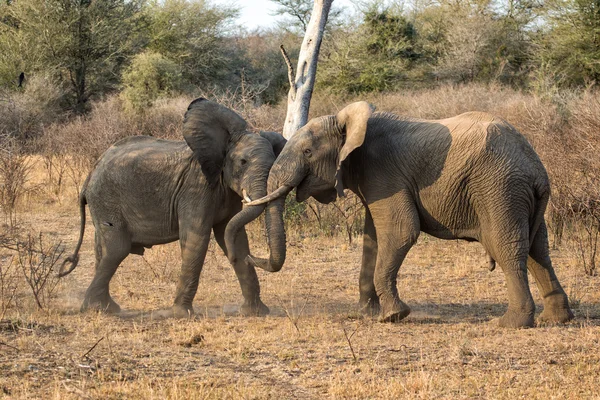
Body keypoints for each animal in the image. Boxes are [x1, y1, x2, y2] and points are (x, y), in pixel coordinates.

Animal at [61, 98, 288, 318]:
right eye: (243, 162)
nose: (251, 259)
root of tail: (91, 174)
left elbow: (234, 236)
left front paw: (255, 312)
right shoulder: (196, 189)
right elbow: (197, 238)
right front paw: (182, 315)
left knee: (103, 248)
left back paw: (107, 308)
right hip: (107, 200)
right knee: (117, 248)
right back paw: (96, 309)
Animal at [246, 101, 576, 328]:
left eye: (307, 153)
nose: (251, 257)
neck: (347, 121)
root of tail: (536, 168)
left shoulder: (383, 172)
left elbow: (401, 231)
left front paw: (392, 316)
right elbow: (373, 238)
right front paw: (368, 312)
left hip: (499, 188)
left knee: (507, 248)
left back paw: (511, 323)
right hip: (517, 194)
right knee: (538, 250)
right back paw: (556, 319)